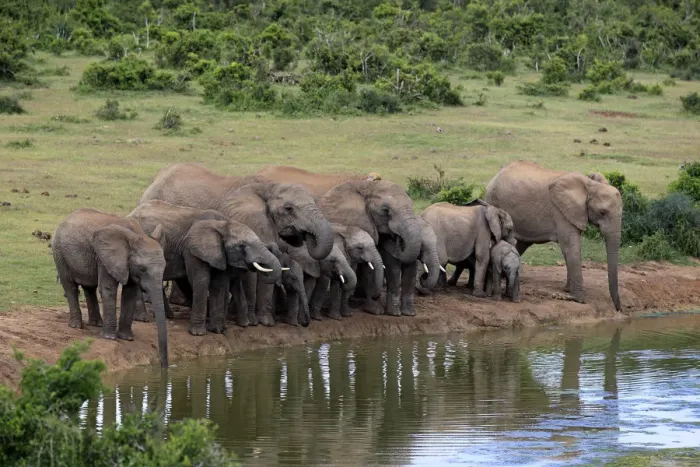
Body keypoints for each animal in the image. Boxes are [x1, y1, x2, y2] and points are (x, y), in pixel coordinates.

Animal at [52, 208, 169, 367]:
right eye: (142, 269)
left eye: (164, 267)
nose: (163, 365)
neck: (137, 234)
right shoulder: (105, 257)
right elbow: (108, 289)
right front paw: (109, 338)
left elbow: (130, 292)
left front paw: (127, 338)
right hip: (59, 253)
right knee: (70, 286)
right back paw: (76, 326)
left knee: (89, 287)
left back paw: (96, 324)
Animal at [127, 200, 283, 335]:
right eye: (242, 246)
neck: (223, 223)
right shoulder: (192, 249)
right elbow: (201, 280)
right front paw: (198, 333)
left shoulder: (219, 254)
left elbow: (219, 284)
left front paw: (218, 330)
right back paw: (143, 318)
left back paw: (167, 316)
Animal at [140, 163, 335, 326]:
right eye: (289, 209)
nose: (307, 236)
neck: (269, 187)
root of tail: (157, 177)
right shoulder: (249, 222)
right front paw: (264, 322)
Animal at [319, 180, 423, 316]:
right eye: (385, 210)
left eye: (412, 205)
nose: (398, 239)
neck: (368, 186)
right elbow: (370, 266)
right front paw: (376, 311)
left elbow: (390, 264)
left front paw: (403, 314)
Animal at [484, 161, 622, 310]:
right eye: (602, 212)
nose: (619, 309)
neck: (590, 186)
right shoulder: (561, 212)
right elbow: (571, 247)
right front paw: (578, 299)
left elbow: (569, 249)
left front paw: (567, 290)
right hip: (494, 200)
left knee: (520, 244)